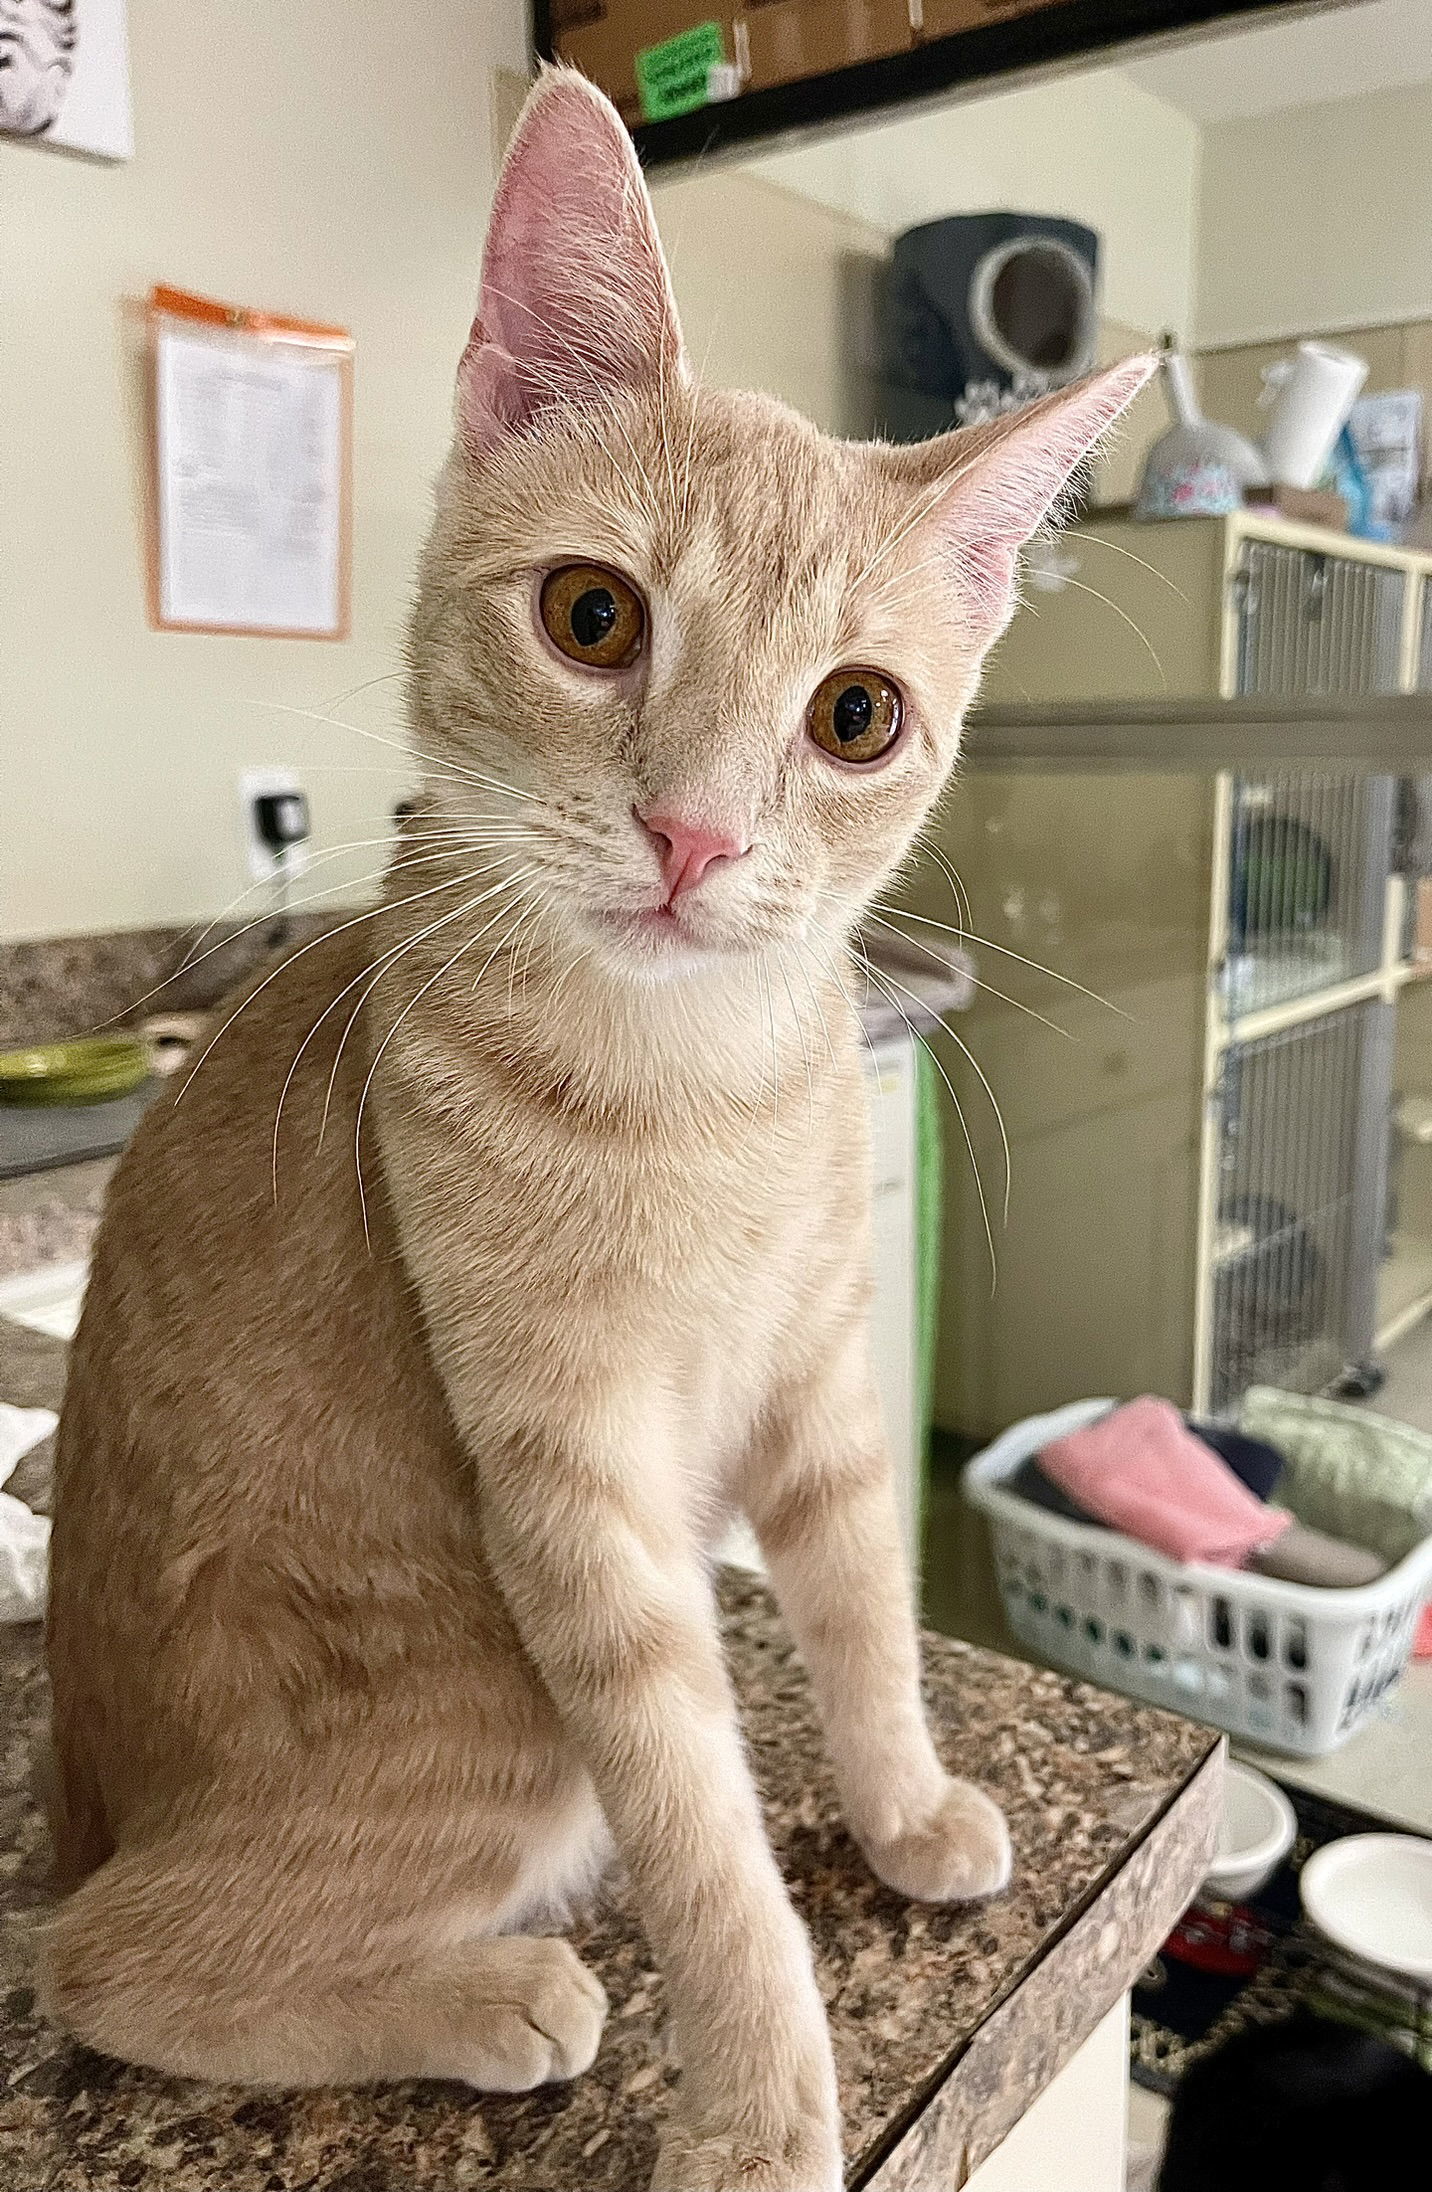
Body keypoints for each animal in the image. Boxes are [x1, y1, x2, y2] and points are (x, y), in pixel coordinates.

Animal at [44, 68, 1157, 2192]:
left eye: (858, 715)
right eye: (589, 615)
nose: (696, 834)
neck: (692, 1085)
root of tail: (82, 1787)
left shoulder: (821, 1375)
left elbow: (868, 1616)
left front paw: (904, 1800)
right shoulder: (574, 1495)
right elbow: (697, 1818)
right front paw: (761, 2105)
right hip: (484, 1711)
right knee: (92, 1962)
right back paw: (488, 1994)